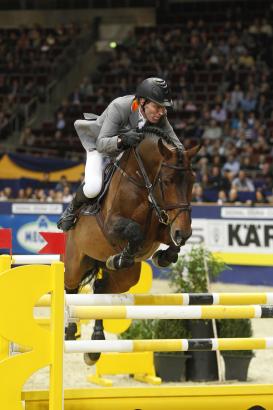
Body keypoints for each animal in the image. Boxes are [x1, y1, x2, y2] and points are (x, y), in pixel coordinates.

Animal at [65, 126, 199, 364]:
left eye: (192, 181)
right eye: (167, 181)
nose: (183, 232)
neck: (142, 182)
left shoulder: (163, 226)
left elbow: (172, 242)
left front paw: (164, 256)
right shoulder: (112, 225)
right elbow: (134, 232)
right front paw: (122, 256)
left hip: (126, 279)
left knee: (101, 290)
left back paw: (95, 345)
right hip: (76, 262)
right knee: (70, 288)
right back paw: (71, 331)